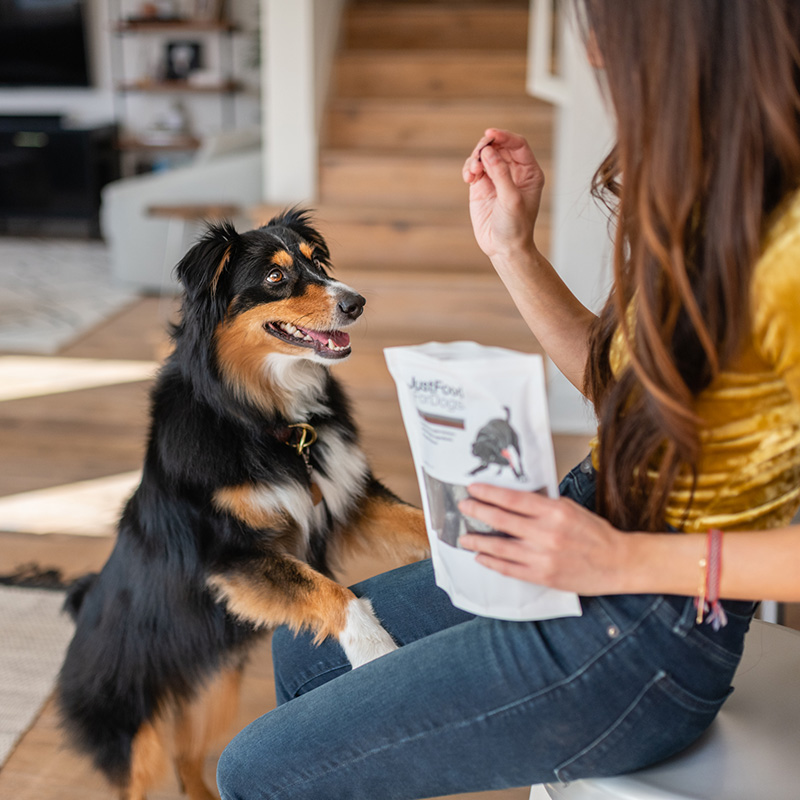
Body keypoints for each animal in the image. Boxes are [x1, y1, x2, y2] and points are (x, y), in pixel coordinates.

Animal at [56, 211, 432, 800]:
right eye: (276, 278)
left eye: (317, 262)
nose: (356, 302)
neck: (266, 416)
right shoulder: (228, 556)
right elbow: (332, 591)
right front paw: (373, 647)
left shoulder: (348, 499)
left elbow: (413, 521)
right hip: (134, 728)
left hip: (216, 685)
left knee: (188, 760)